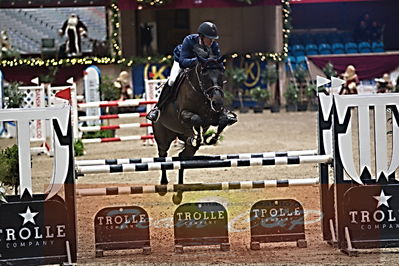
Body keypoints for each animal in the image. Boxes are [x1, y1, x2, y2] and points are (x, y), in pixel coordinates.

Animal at [152, 56, 234, 204]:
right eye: (204, 75)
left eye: (221, 75)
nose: (218, 103)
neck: (201, 93)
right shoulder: (184, 115)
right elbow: (197, 119)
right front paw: (199, 136)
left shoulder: (215, 116)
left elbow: (222, 121)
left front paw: (211, 138)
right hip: (163, 138)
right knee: (163, 156)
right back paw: (163, 185)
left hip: (186, 147)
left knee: (182, 158)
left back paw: (179, 192)